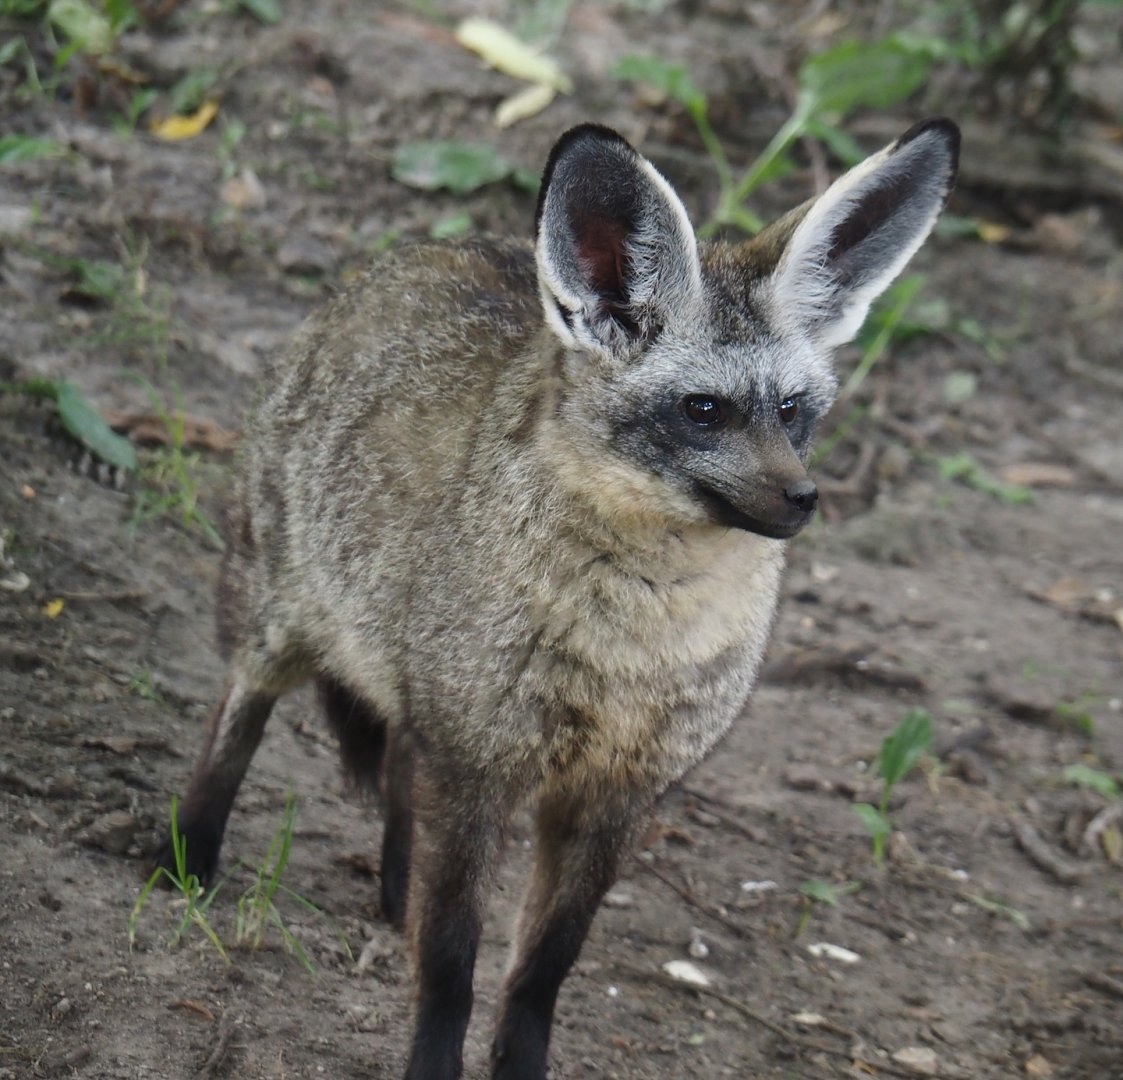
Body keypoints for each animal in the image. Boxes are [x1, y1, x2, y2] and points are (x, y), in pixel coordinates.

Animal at [153, 118, 959, 1079]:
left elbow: (541, 967)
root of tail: (407, 257)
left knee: (397, 782)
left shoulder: (615, 796)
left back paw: (390, 892)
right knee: (235, 722)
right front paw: (433, 1062)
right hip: (280, 630)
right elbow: (451, 964)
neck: (639, 644)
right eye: (703, 410)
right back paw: (189, 853)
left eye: (793, 412)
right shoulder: (479, 766)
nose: (803, 500)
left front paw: (518, 1060)